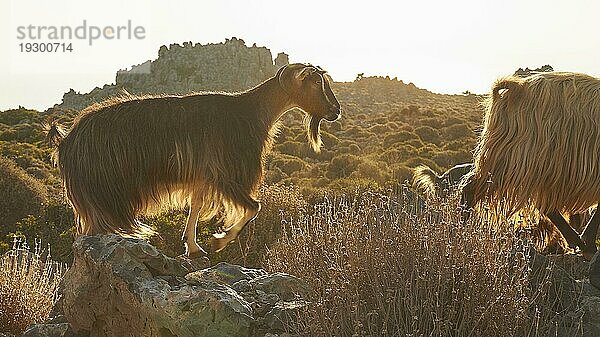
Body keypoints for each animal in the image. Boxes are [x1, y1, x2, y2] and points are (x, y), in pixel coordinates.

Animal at [47, 63, 342, 256]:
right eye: (316, 82)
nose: (336, 110)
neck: (251, 112)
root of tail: (67, 140)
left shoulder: (202, 175)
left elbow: (196, 206)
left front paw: (193, 246)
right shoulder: (225, 173)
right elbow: (253, 207)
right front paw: (219, 240)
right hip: (102, 193)